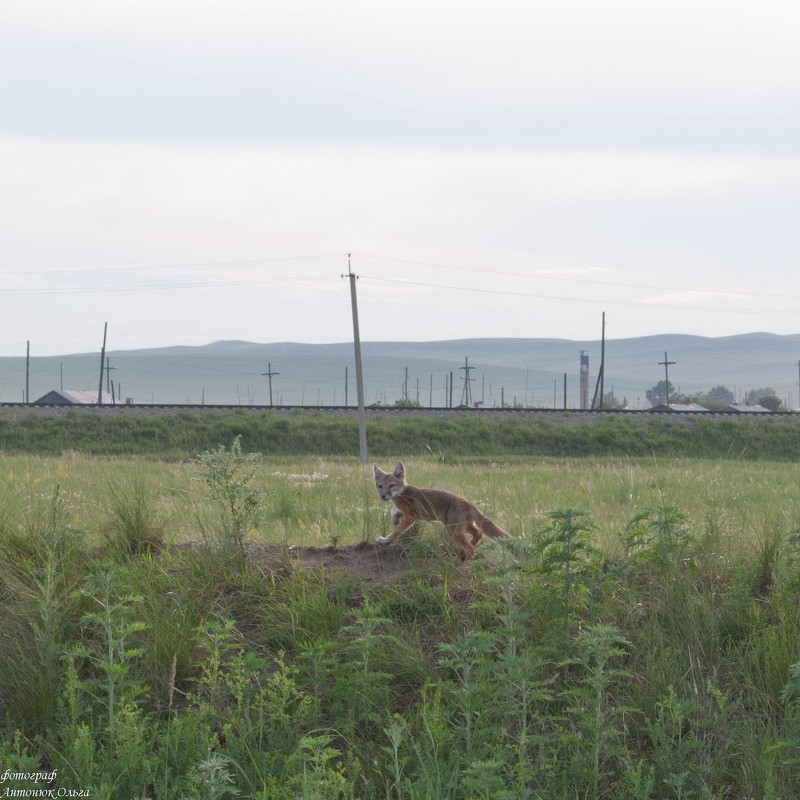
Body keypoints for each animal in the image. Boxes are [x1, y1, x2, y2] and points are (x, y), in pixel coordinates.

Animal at [372, 460, 510, 560]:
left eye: (391, 485)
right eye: (380, 486)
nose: (383, 496)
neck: (403, 493)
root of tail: (469, 503)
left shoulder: (411, 517)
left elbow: (396, 532)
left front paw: (385, 540)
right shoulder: (406, 513)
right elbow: (396, 514)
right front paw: (395, 520)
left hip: (453, 530)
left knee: (470, 548)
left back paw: (465, 564)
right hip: (461, 527)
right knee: (478, 534)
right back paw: (471, 546)